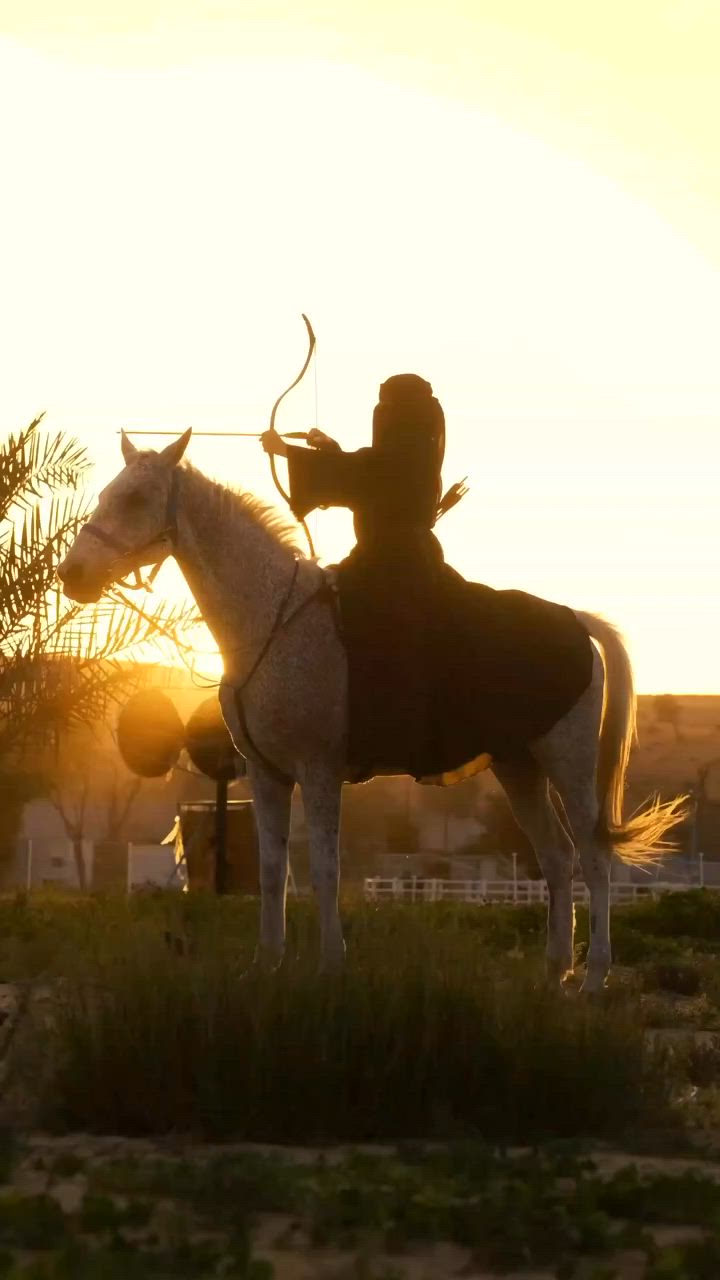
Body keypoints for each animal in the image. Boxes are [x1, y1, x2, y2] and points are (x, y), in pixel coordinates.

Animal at [58, 429, 686, 993]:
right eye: (105, 494)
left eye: (136, 498)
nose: (71, 575)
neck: (271, 618)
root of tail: (576, 622)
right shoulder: (266, 774)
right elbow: (271, 871)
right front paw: (266, 966)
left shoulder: (318, 771)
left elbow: (325, 868)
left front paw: (329, 967)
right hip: (518, 767)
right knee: (556, 858)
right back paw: (554, 973)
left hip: (568, 763)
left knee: (594, 858)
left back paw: (595, 977)